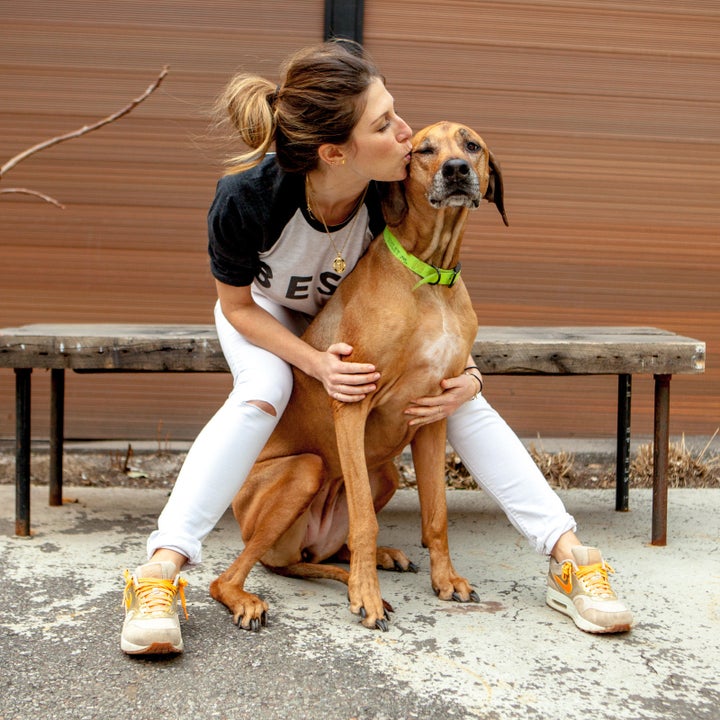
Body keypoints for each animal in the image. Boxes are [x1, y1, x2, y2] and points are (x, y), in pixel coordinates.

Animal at [210, 122, 506, 632]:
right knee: (230, 575)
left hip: (382, 473)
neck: (431, 277)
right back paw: (250, 598)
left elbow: (436, 515)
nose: (456, 170)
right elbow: (366, 519)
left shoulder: (433, 415)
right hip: (304, 473)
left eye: (472, 146)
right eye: (424, 150)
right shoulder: (352, 402)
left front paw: (445, 580)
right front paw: (366, 597)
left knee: (325, 551)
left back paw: (378, 559)